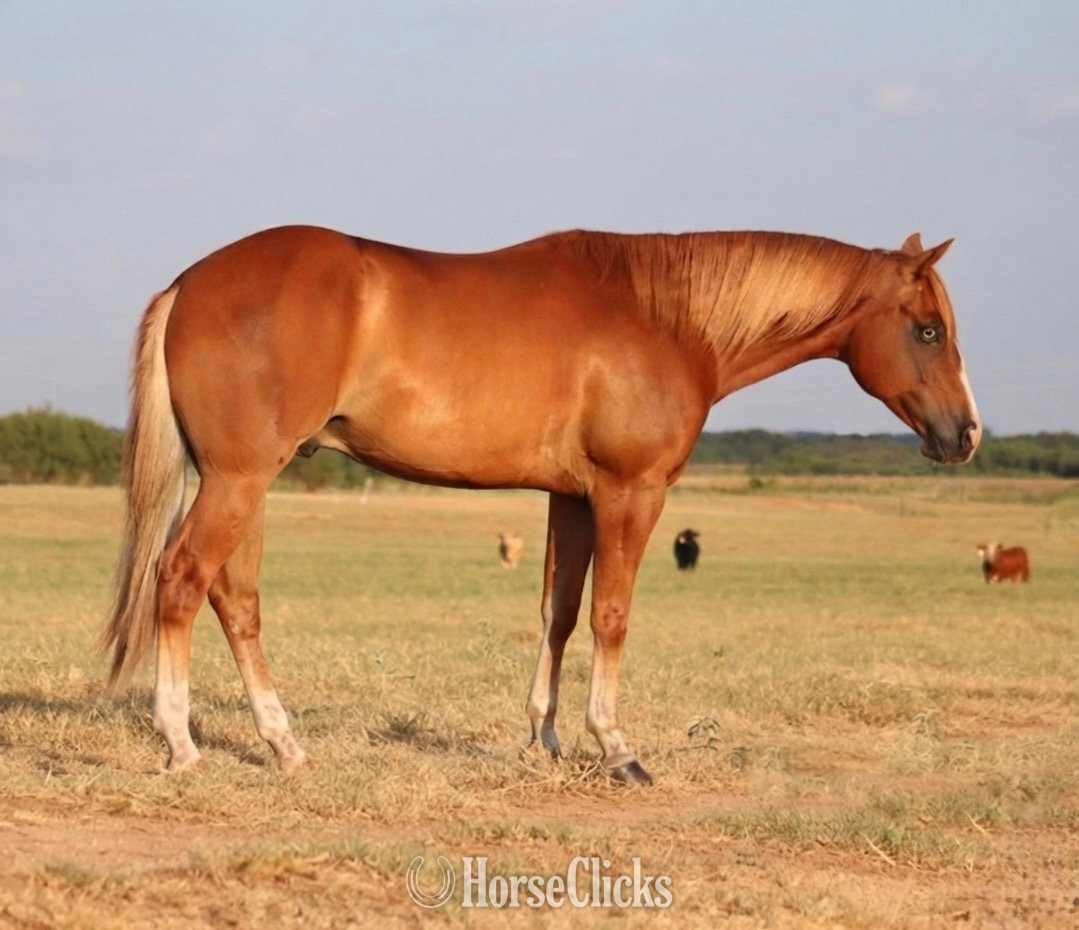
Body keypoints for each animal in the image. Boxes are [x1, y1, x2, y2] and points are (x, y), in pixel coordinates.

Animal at [103, 225, 981, 785]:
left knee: (234, 598)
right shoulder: (631, 492)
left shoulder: (571, 498)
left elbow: (557, 611)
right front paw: (615, 747)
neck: (664, 319)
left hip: (246, 481)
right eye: (928, 331)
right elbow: (610, 616)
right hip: (239, 479)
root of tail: (188, 284)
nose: (965, 434)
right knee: (180, 580)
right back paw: (181, 744)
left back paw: (283, 746)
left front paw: (544, 737)